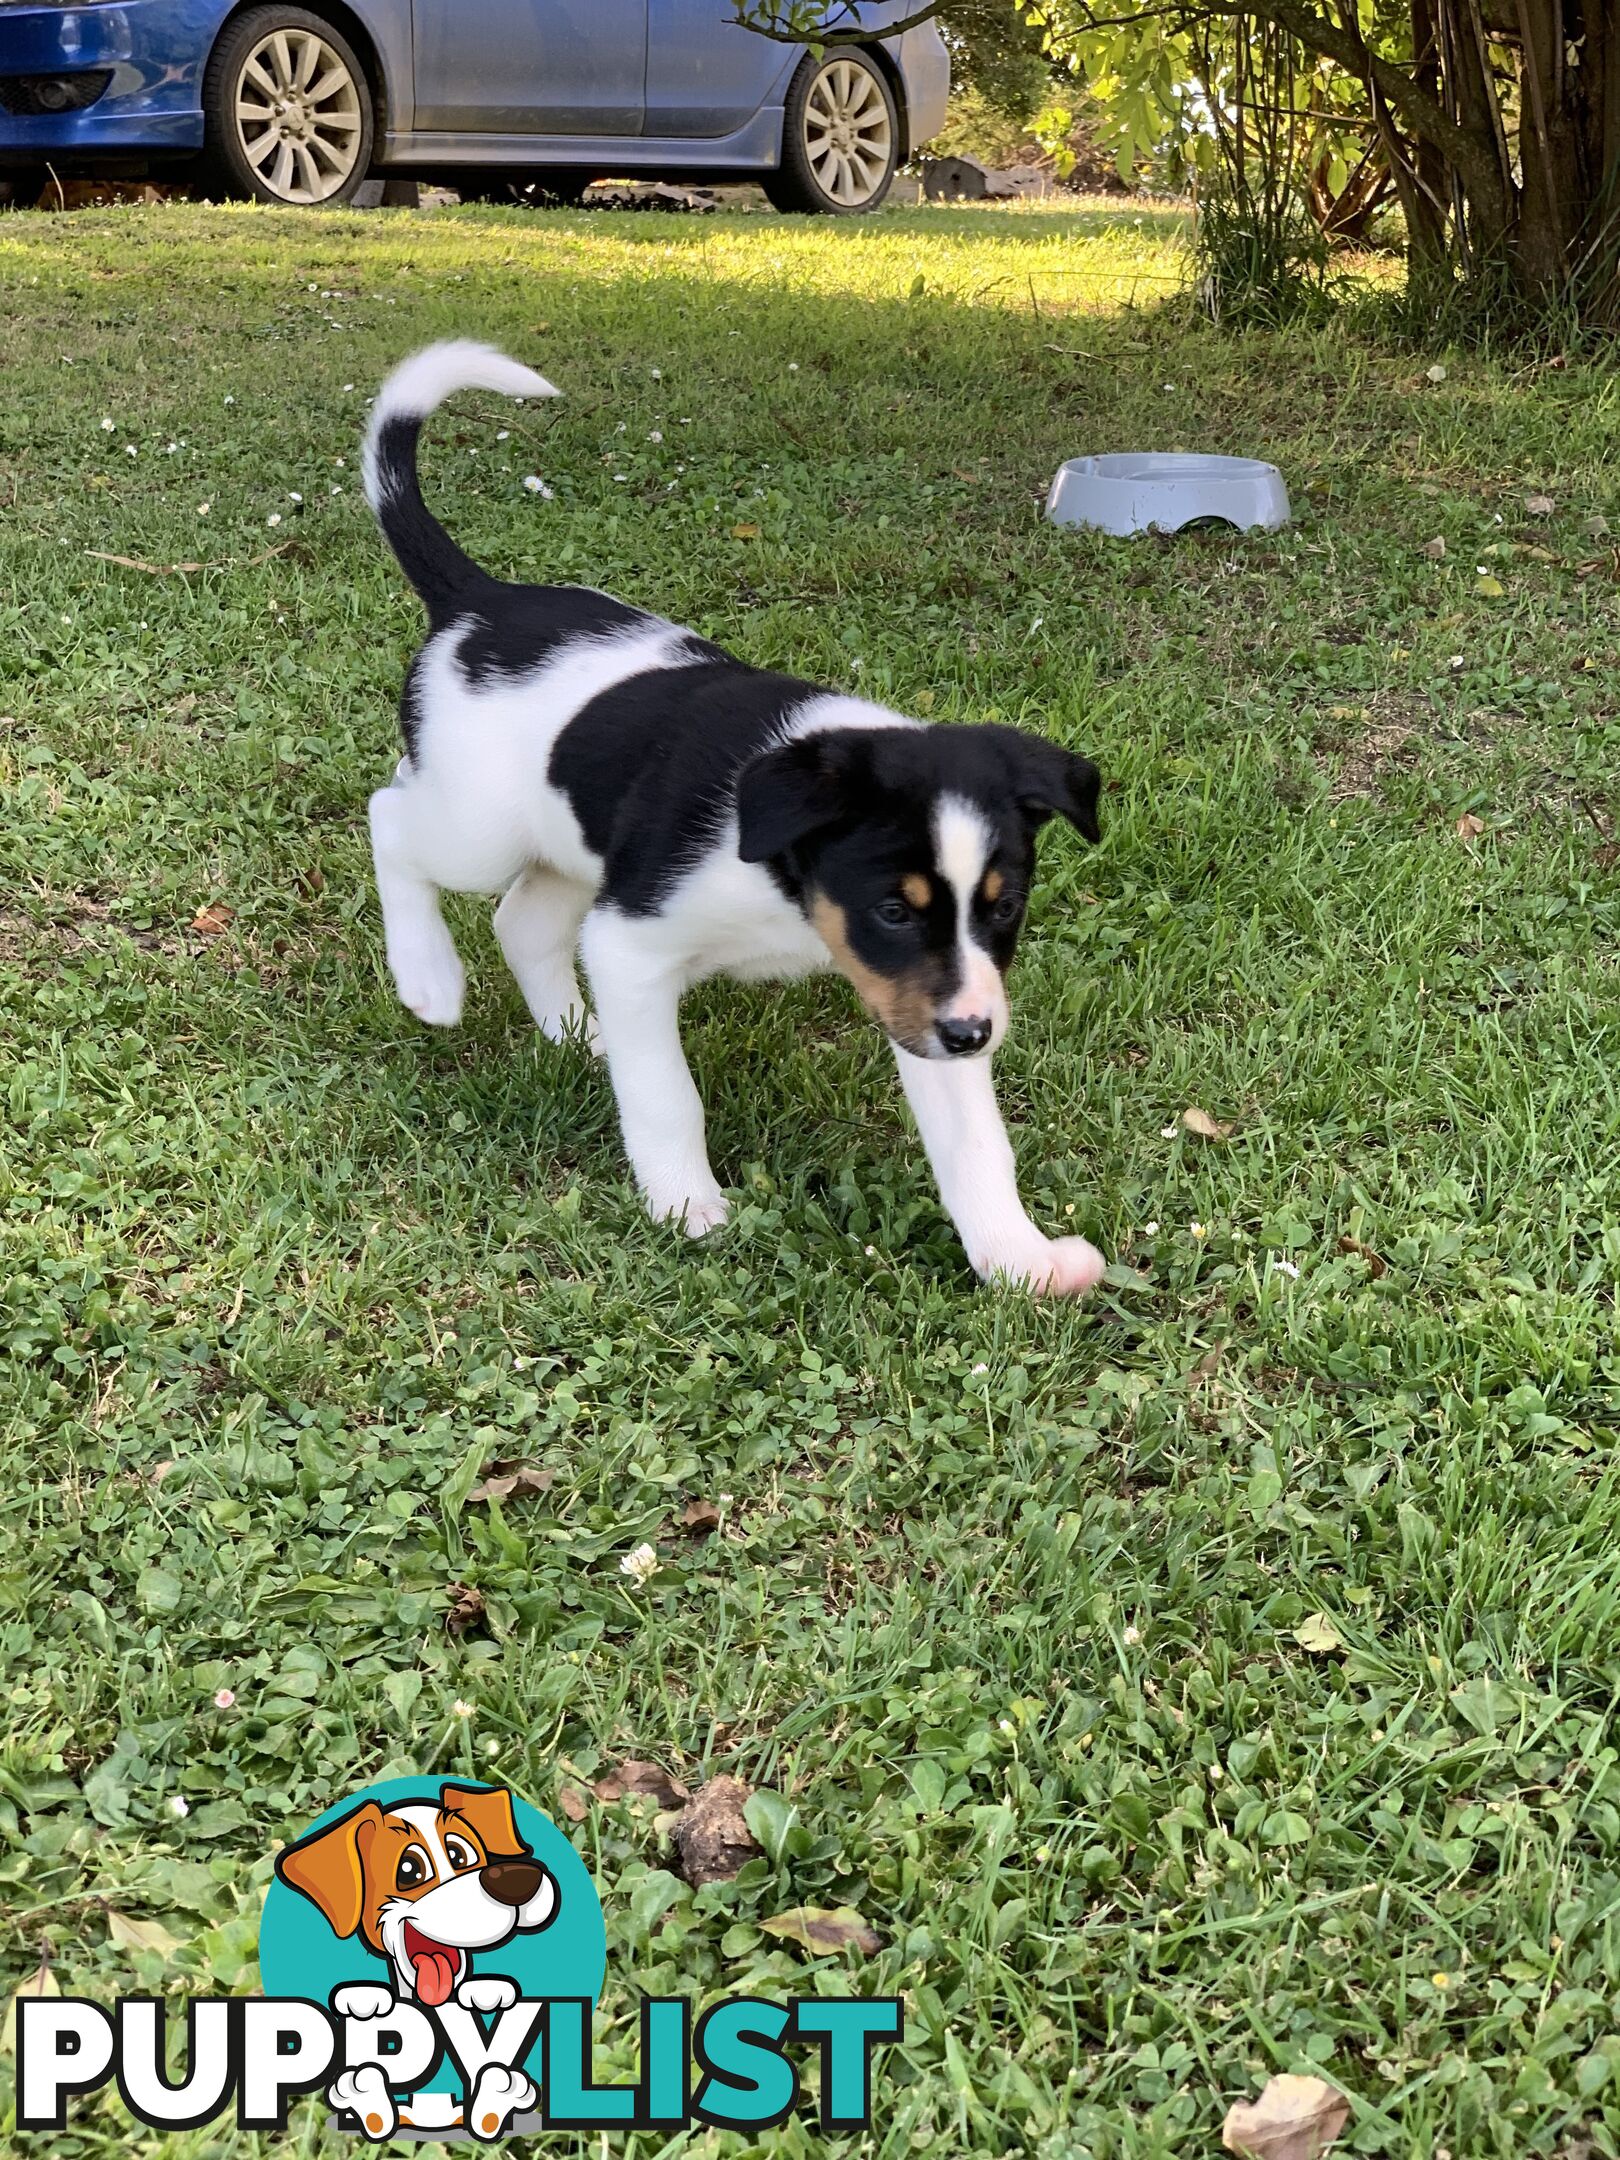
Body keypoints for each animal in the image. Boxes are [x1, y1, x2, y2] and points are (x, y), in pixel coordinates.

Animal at [362, 343, 1114, 1287]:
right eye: (893, 910)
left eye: (1004, 906)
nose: (974, 1034)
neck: (786, 881)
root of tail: (477, 602)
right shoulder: (634, 943)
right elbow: (666, 1096)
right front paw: (686, 1206)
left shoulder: (920, 1004)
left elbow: (976, 1148)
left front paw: (1021, 1261)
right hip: (479, 831)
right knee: (391, 816)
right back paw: (428, 977)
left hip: (569, 847)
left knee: (518, 920)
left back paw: (580, 1036)